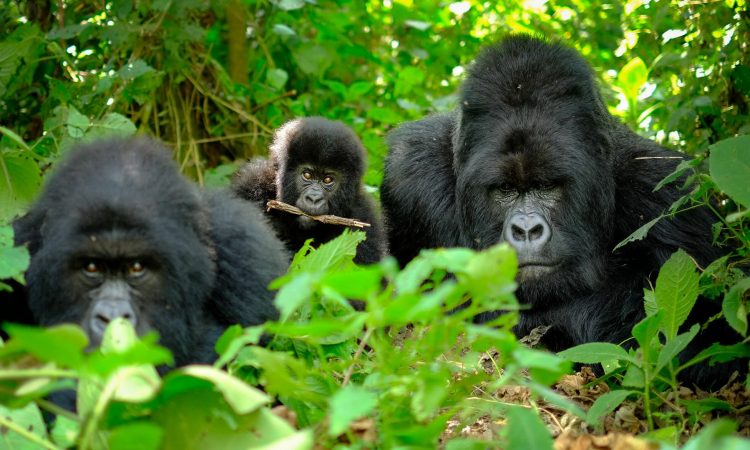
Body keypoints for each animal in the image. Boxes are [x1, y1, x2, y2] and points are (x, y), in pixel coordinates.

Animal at [384, 34, 748, 386]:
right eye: (505, 190)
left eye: (547, 186)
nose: (526, 230)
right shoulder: (410, 174)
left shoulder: (671, 194)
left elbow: (708, 337)